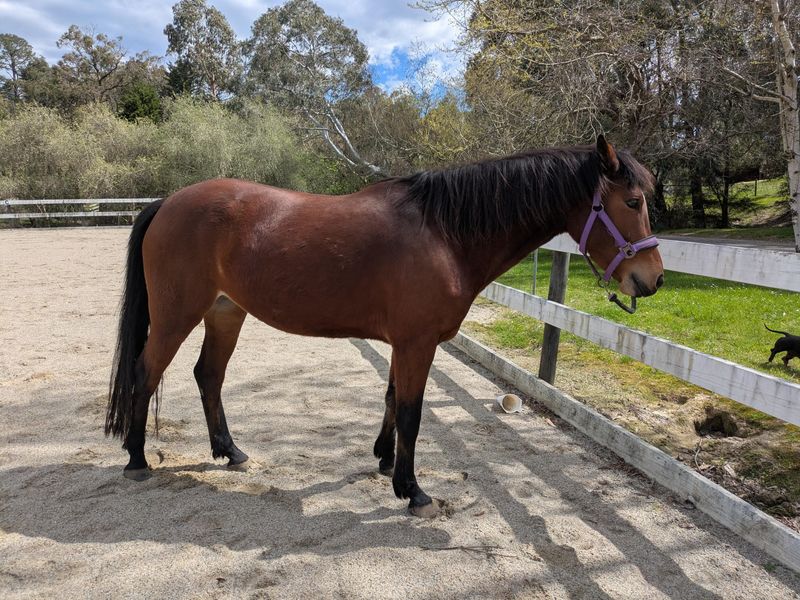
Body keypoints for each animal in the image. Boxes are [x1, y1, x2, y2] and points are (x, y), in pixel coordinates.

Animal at [106, 136, 664, 517]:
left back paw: (230, 451)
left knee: (209, 376)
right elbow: (413, 413)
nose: (652, 279)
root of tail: (167, 202)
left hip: (225, 313)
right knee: (145, 373)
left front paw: (383, 461)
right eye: (633, 202)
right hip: (177, 316)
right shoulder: (417, 343)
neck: (443, 233)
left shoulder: (403, 343)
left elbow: (394, 399)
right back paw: (137, 459)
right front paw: (411, 489)